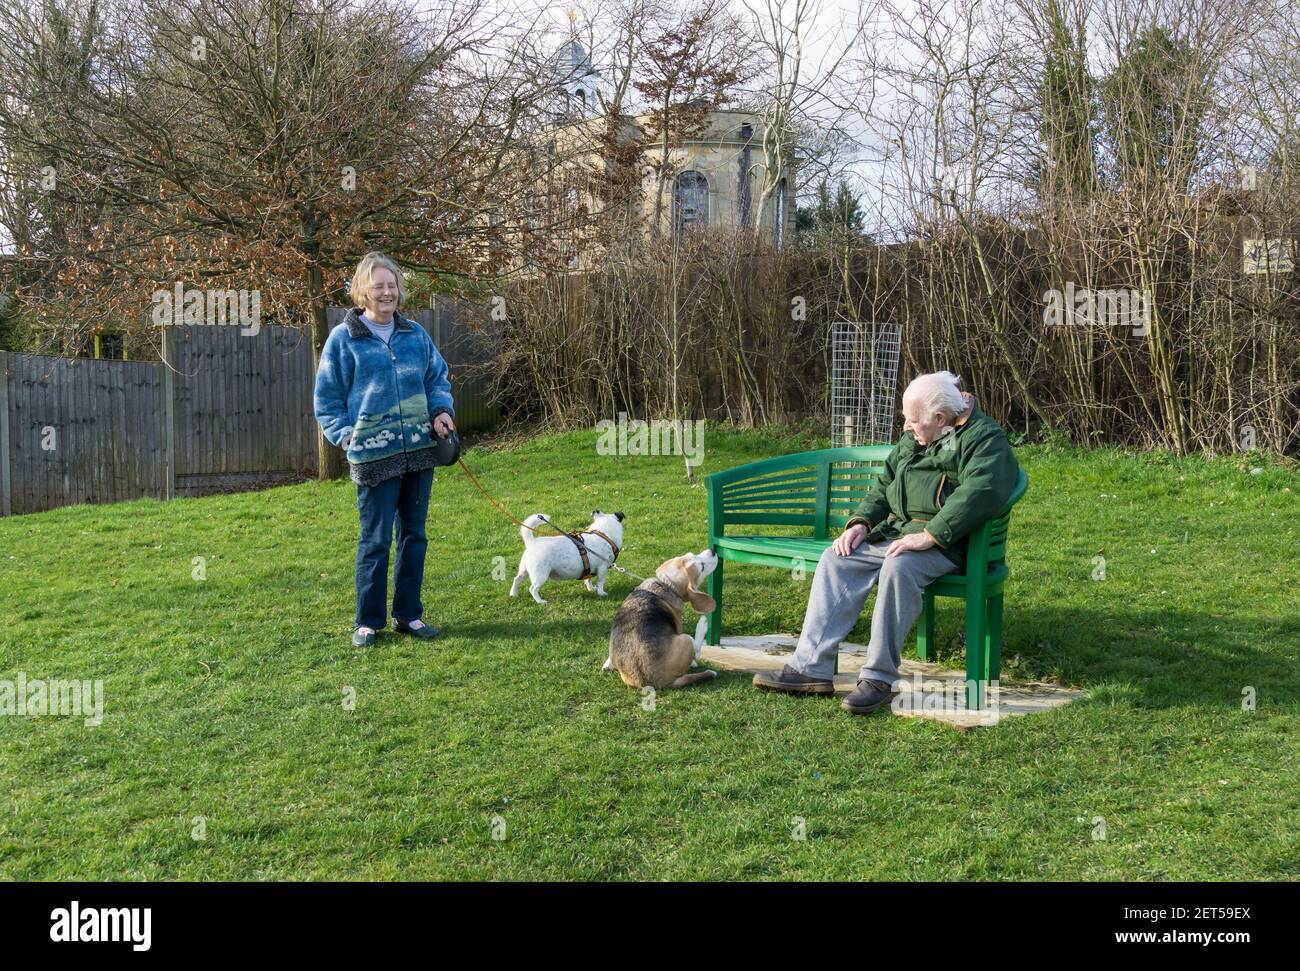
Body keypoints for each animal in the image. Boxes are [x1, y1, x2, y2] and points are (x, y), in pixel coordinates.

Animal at [600, 545, 717, 691]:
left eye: (691, 554)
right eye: (702, 567)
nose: (713, 551)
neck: (666, 585)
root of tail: (651, 681)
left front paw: (607, 664)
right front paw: (694, 663)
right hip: (685, 638)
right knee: (696, 648)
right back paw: (702, 624)